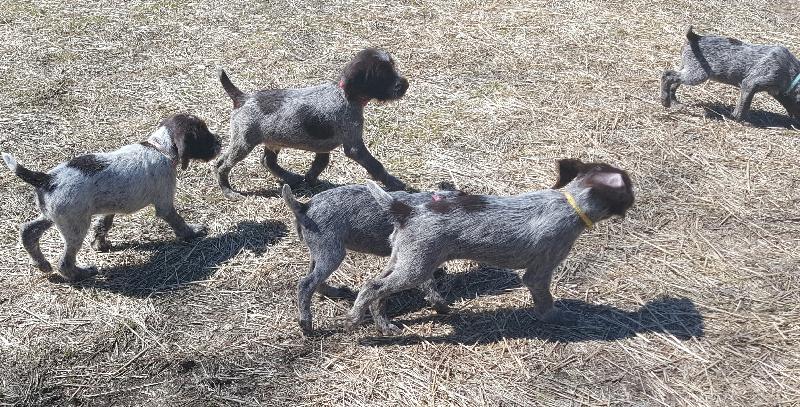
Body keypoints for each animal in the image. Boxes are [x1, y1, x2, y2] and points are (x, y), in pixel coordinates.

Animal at [3, 113, 222, 282]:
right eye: (202, 133)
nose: (220, 141)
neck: (159, 148)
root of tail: (46, 179)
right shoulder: (164, 204)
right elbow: (178, 222)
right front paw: (192, 232)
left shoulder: (109, 206)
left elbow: (103, 224)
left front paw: (99, 244)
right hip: (75, 226)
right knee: (64, 262)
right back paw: (81, 273)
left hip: (54, 216)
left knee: (28, 231)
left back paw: (41, 263)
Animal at [214, 48, 410, 200]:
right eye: (383, 75)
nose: (405, 85)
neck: (346, 95)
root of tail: (242, 98)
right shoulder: (354, 147)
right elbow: (376, 166)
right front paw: (394, 183)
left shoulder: (323, 148)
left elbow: (319, 165)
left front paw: (311, 181)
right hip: (244, 143)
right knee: (222, 165)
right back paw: (228, 191)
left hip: (271, 141)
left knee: (266, 161)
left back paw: (290, 178)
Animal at [282, 184, 460, 334]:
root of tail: (304, 207)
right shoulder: (420, 255)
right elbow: (429, 284)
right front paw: (441, 305)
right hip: (332, 253)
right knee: (306, 284)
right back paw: (306, 322)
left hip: (319, 253)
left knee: (314, 280)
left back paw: (335, 292)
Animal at [346, 159, 636, 334]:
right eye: (628, 189)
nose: (635, 199)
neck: (571, 203)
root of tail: (406, 210)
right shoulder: (539, 272)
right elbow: (545, 299)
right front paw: (554, 317)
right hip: (414, 269)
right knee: (372, 287)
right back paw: (354, 317)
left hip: (403, 259)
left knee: (377, 289)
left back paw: (383, 324)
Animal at [664, 25, 800, 120]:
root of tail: (694, 37)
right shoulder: (749, 84)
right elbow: (743, 105)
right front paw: (738, 119)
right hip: (696, 75)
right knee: (667, 75)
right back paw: (664, 100)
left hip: (687, 69)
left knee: (674, 83)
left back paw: (674, 103)